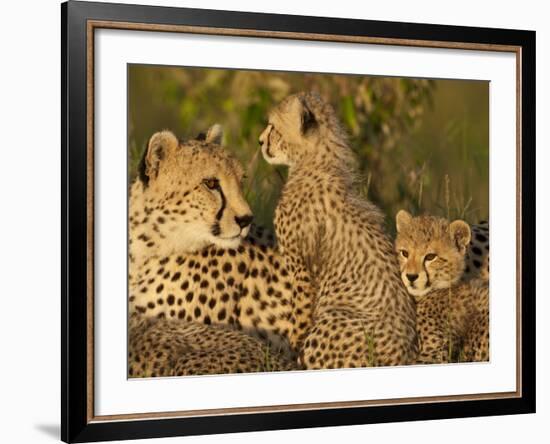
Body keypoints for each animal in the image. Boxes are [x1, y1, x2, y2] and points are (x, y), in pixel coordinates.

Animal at [260, 93, 420, 368]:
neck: (315, 160)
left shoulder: (302, 270)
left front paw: (290, 354)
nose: (260, 141)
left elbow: (298, 319)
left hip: (332, 317)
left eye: (273, 127)